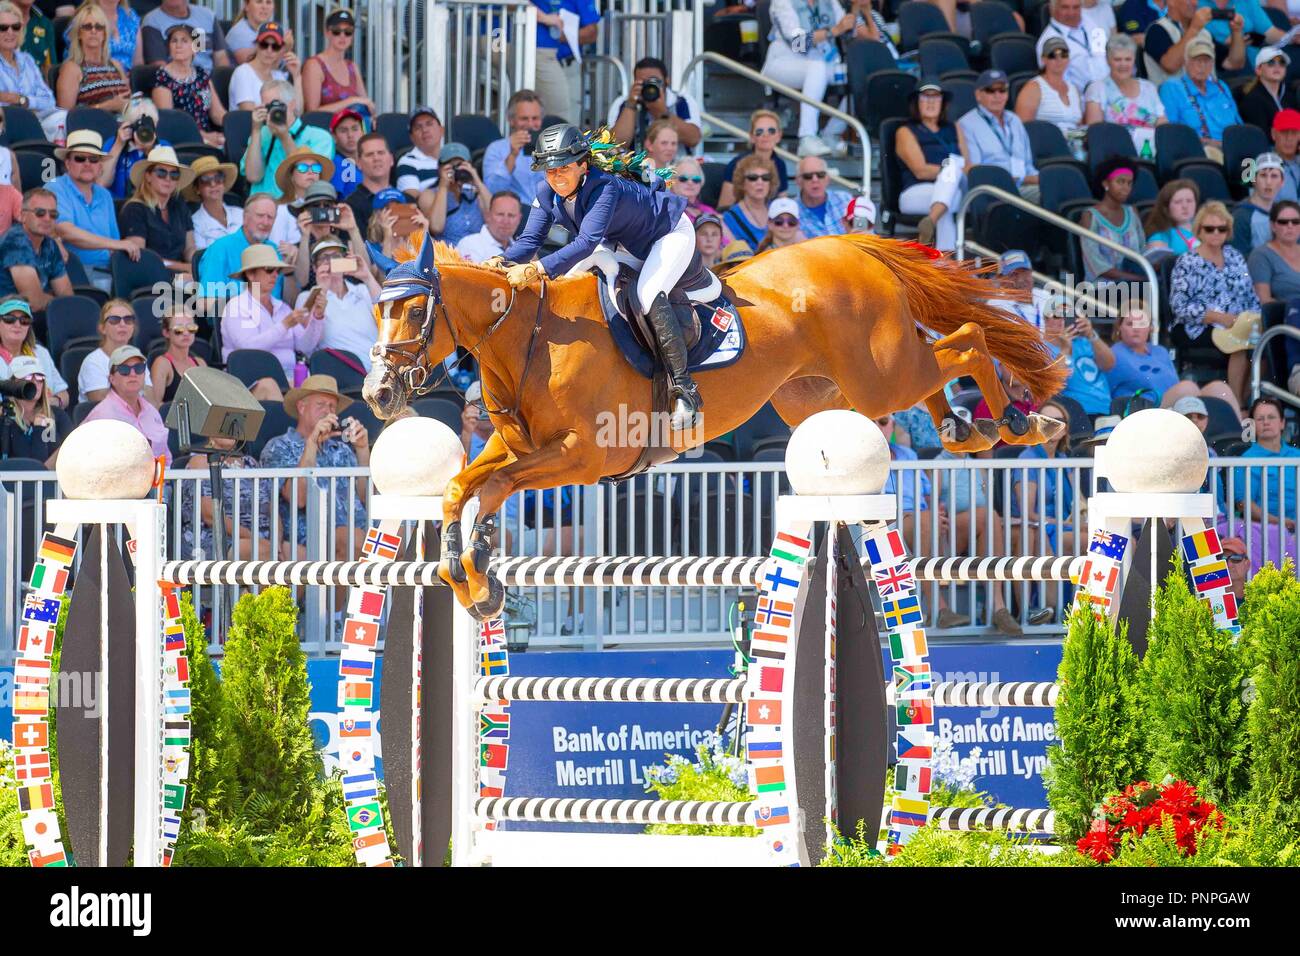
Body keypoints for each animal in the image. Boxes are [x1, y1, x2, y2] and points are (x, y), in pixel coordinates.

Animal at [364, 232, 1066, 621]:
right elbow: (460, 488)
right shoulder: (517, 446)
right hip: (825, 393)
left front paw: (478, 565)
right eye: (377, 310)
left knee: (968, 338)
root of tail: (850, 247)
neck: (531, 336)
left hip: (877, 373)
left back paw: (1020, 420)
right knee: (935, 365)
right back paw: (964, 429)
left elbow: (493, 487)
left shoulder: (580, 457)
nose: (377, 394)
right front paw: (468, 575)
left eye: (415, 311)